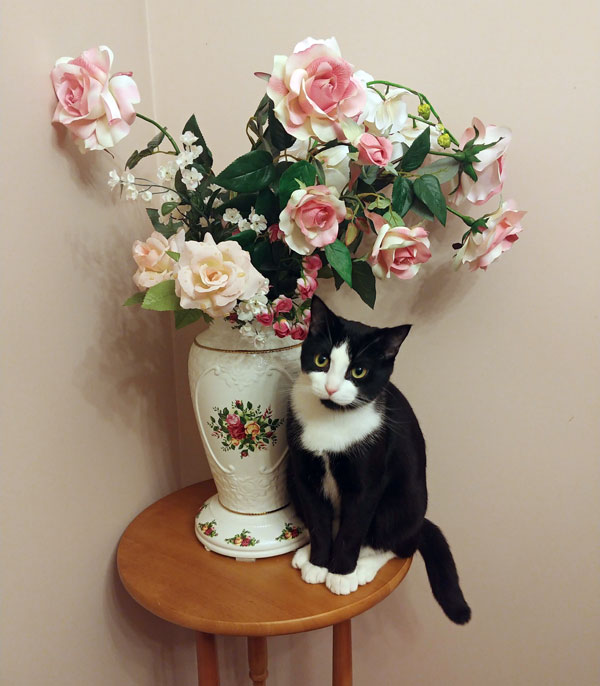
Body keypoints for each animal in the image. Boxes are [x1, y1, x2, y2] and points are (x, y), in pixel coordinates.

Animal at [284, 296, 472, 624]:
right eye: (322, 360)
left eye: (358, 371)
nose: (331, 388)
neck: (332, 419)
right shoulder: (305, 475)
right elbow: (318, 520)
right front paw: (318, 564)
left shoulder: (368, 481)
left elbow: (353, 529)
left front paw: (340, 573)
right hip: (290, 480)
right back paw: (304, 554)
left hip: (402, 501)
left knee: (401, 544)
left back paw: (363, 567)